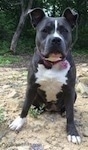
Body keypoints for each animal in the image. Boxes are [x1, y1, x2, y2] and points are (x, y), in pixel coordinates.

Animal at [9, 7, 81, 144]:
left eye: (64, 31)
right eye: (45, 30)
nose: (56, 39)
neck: (52, 63)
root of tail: (51, 108)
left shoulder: (69, 90)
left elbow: (71, 114)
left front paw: (73, 132)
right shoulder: (31, 87)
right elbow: (25, 106)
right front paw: (19, 122)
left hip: (74, 94)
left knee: (67, 109)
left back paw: (63, 112)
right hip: (36, 95)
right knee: (33, 104)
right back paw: (37, 110)